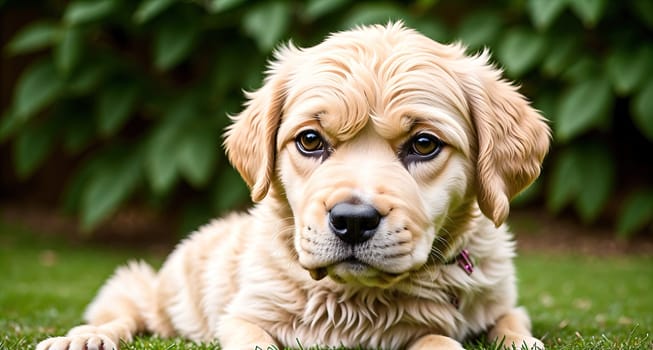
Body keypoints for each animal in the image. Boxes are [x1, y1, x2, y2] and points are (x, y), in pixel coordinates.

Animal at [38, 22, 548, 350]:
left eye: (424, 144)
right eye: (310, 140)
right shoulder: (244, 315)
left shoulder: (502, 302)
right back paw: (84, 338)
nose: (352, 221)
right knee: (122, 311)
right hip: (147, 288)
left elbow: (490, 330)